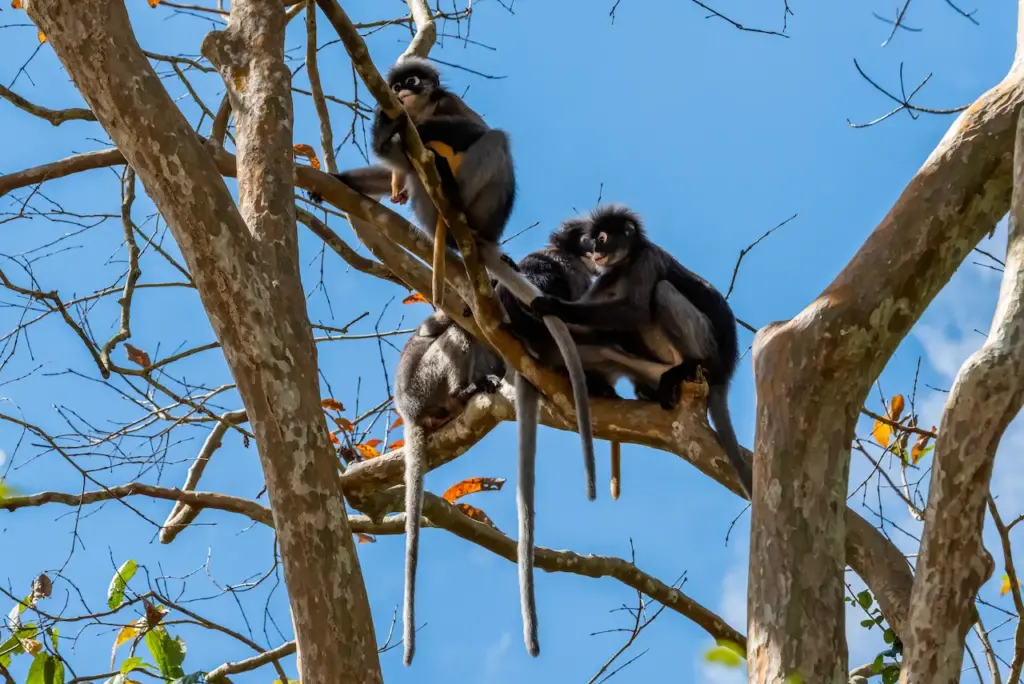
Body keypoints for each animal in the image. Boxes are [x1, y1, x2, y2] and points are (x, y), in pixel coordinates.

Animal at [528, 202, 753, 497]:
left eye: (602, 239)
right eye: (591, 240)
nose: (595, 251)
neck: (627, 263)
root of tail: (724, 371)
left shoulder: (647, 261)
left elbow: (637, 312)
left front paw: (555, 306)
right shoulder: (609, 276)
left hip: (704, 343)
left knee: (662, 291)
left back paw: (688, 366)